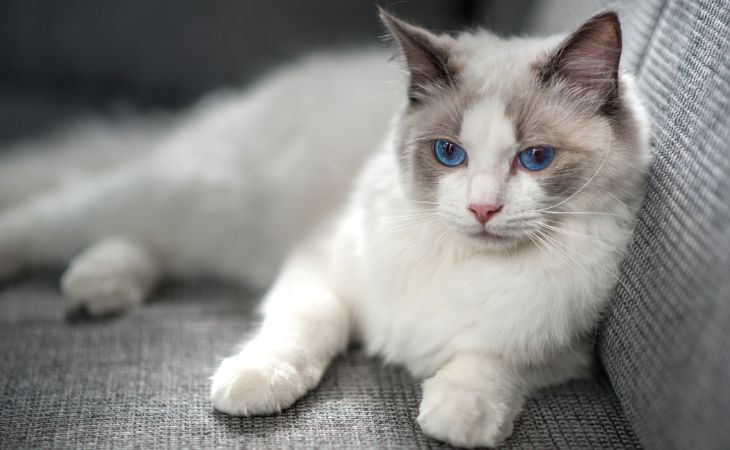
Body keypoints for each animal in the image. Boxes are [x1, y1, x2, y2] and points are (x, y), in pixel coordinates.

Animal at [0, 7, 648, 450]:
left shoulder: (566, 344)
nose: (482, 210)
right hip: (193, 193)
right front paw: (254, 385)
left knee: (145, 242)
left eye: (535, 159)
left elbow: (493, 359)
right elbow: (307, 327)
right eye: (449, 153)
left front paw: (459, 416)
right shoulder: (321, 265)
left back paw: (97, 288)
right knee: (62, 211)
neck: (464, 263)